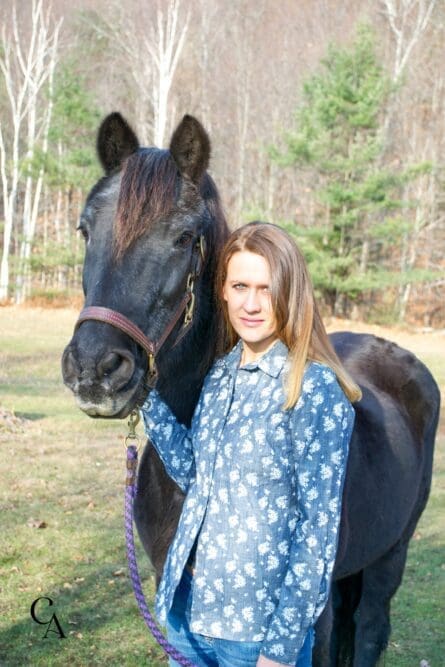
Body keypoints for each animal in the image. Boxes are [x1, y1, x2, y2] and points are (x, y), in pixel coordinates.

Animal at [60, 112, 438, 664]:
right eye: (86, 230)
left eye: (183, 238)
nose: (95, 367)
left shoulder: (314, 624)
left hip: (392, 553)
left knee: (371, 627)